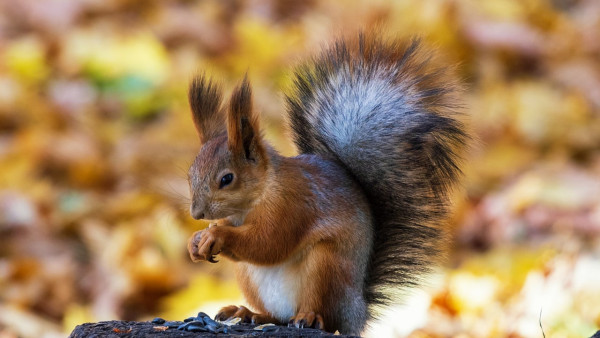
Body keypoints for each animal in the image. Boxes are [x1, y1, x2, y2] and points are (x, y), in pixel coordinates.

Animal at [185, 32, 466, 336]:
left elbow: (269, 242)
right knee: (277, 317)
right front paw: (196, 241)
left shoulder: (293, 205)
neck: (260, 193)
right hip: (249, 276)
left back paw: (309, 317)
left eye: (227, 179)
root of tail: (357, 313)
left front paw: (217, 235)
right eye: (190, 174)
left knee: (323, 316)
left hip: (326, 267)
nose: (197, 214)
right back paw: (249, 313)